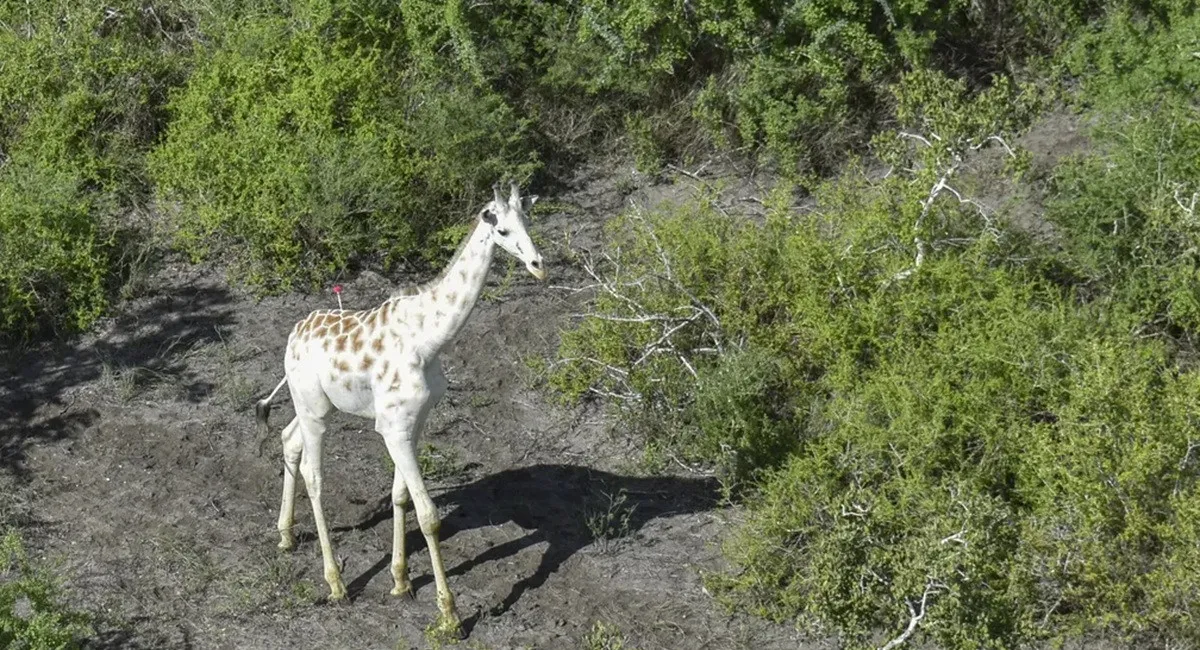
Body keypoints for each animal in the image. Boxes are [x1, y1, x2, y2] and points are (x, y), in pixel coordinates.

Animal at [254, 181, 545, 637]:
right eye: (501, 230)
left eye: (529, 221)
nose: (538, 265)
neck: (429, 339)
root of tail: (292, 336)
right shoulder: (393, 426)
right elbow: (428, 515)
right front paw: (450, 615)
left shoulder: (414, 422)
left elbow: (400, 496)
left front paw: (401, 581)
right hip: (314, 410)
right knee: (315, 477)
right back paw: (336, 584)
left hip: (316, 405)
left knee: (288, 439)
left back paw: (285, 535)